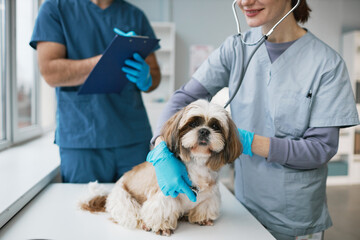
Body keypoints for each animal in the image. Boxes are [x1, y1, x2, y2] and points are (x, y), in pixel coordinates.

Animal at [80, 99, 243, 236]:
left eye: (215, 126)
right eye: (193, 124)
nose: (204, 130)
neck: (197, 164)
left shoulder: (209, 197)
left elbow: (205, 207)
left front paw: (202, 218)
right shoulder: (165, 196)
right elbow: (162, 210)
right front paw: (162, 227)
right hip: (124, 199)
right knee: (132, 213)